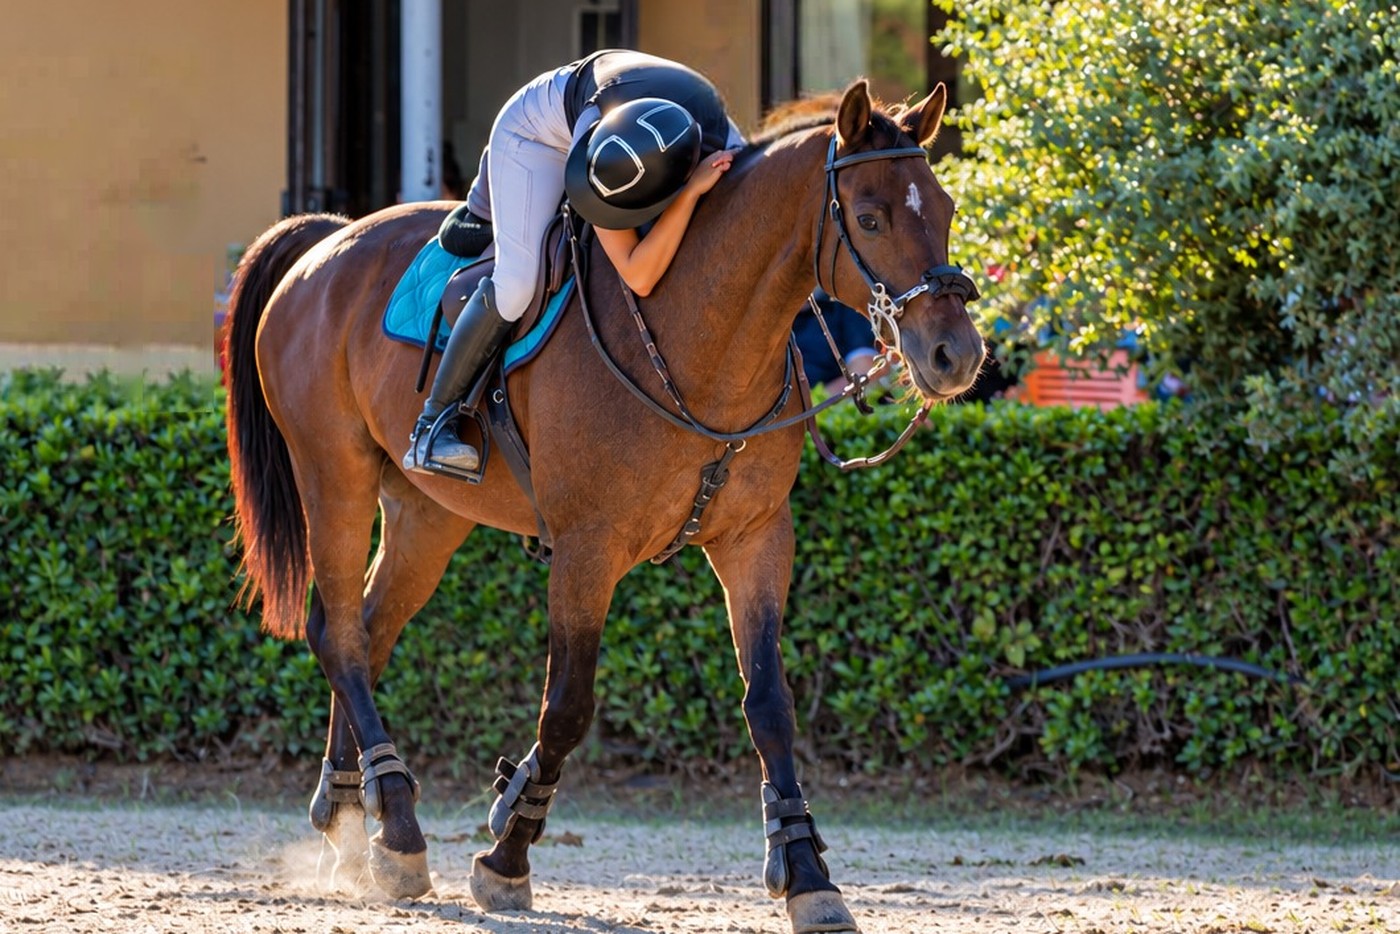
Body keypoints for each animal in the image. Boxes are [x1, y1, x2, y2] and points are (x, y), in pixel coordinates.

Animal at [224, 79, 983, 933]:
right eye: (872, 217)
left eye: (947, 207)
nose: (956, 355)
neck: (704, 337)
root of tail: (328, 243)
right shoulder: (588, 550)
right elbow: (566, 708)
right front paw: (506, 853)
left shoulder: (756, 538)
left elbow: (769, 704)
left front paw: (807, 874)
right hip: (335, 476)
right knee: (341, 634)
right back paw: (398, 824)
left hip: (428, 514)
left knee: (364, 631)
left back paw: (355, 824)